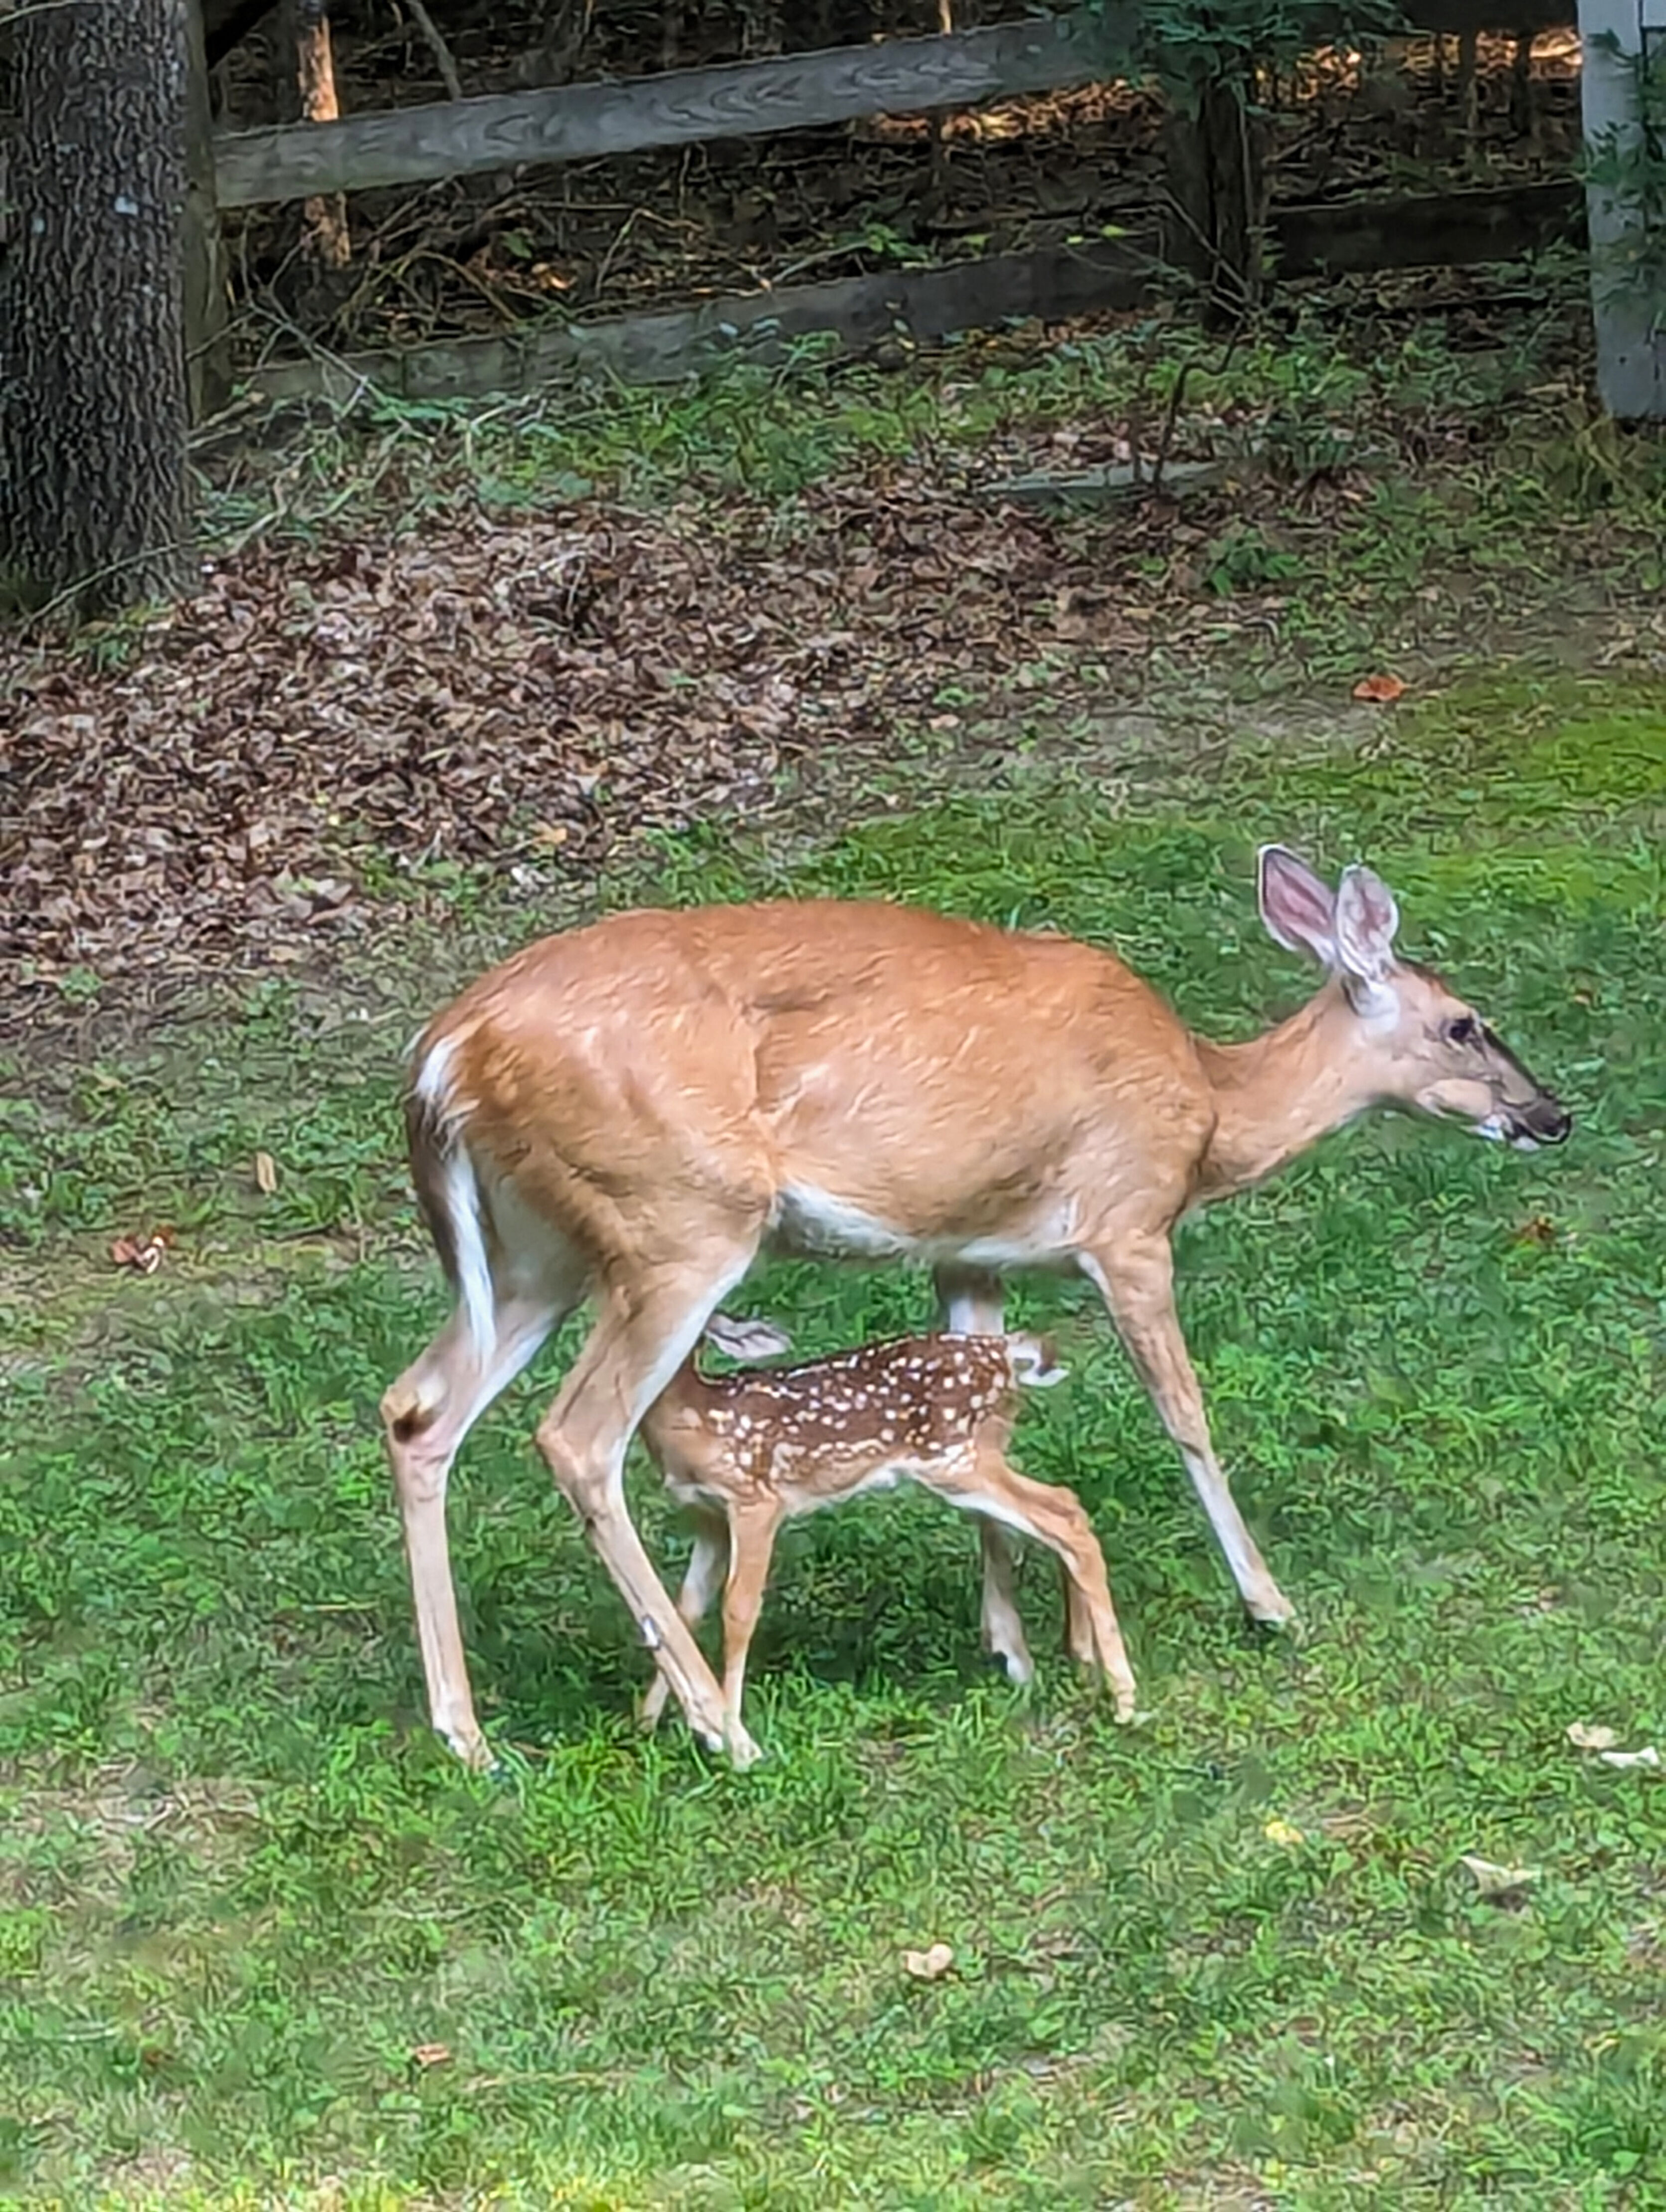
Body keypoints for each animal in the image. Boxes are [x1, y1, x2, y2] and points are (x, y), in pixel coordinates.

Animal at [632, 1316, 1139, 1754]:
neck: (697, 1425)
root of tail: (1005, 1351)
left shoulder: (756, 1501)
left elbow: (738, 1611)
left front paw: (734, 1735)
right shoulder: (709, 1518)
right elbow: (682, 1609)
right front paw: (646, 1723)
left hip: (955, 1459)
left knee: (1066, 1519)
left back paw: (1124, 1700)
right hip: (972, 1460)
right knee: (1066, 1504)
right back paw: (1085, 1665)